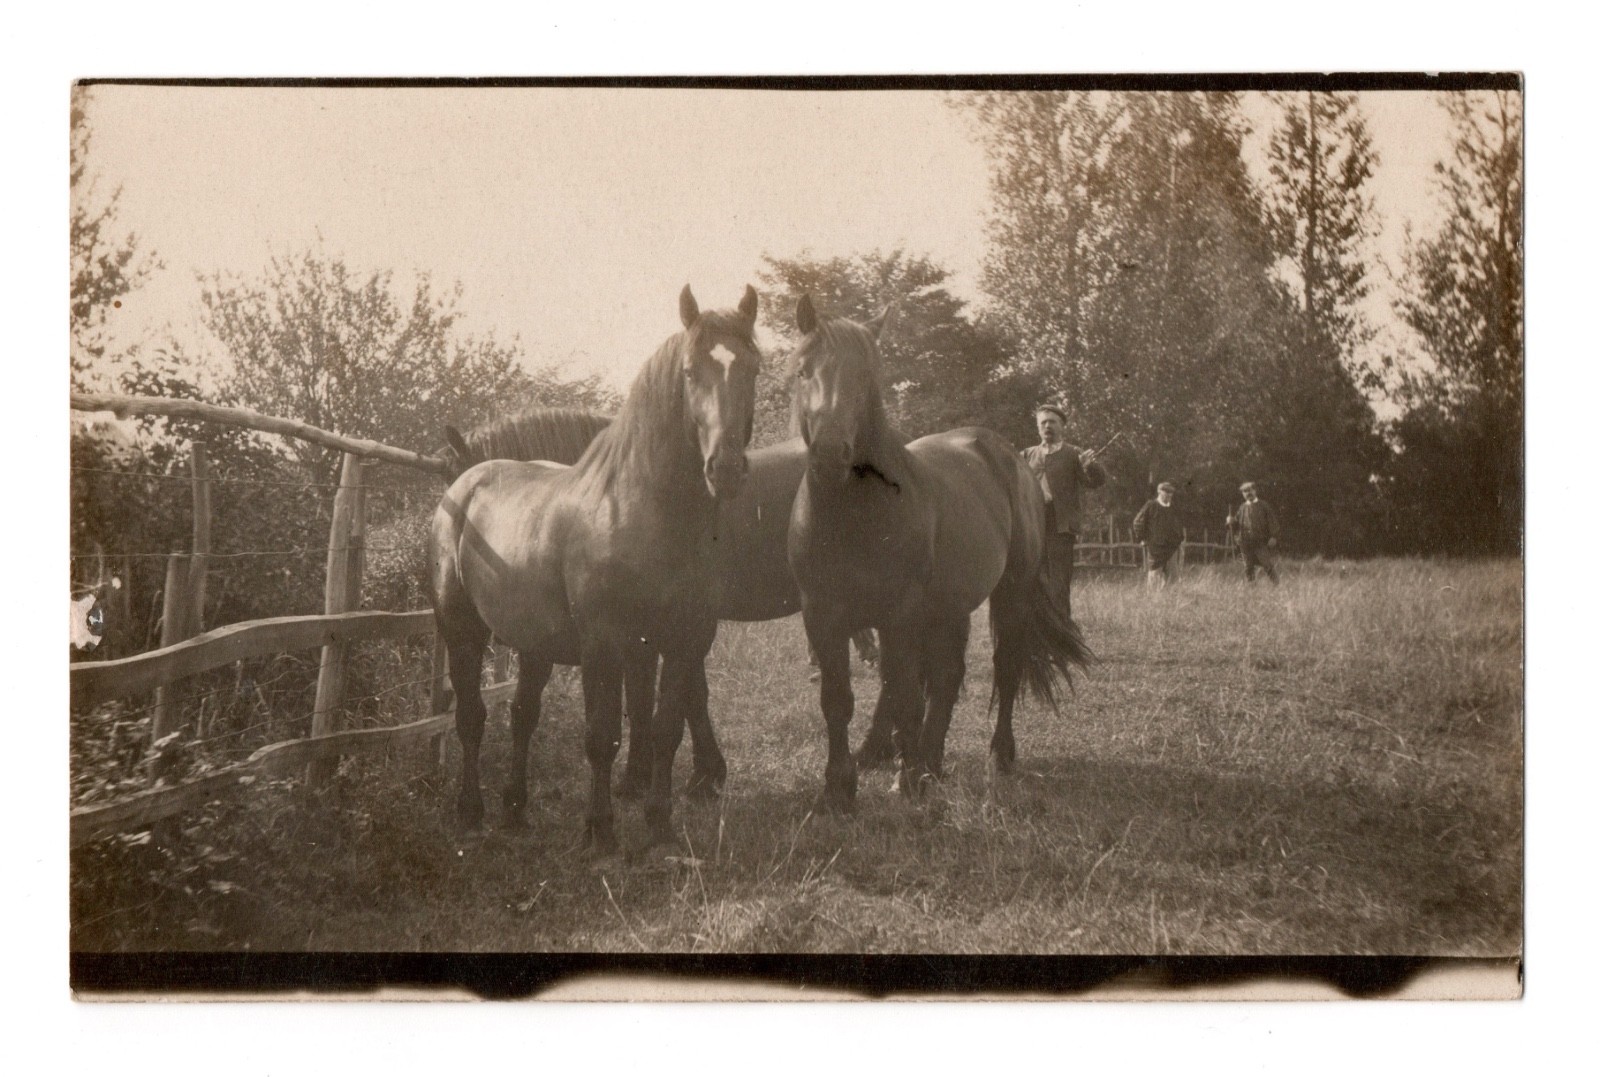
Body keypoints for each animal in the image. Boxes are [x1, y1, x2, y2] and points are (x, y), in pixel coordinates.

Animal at [430, 285, 761, 855]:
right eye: (690, 370)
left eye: (754, 367)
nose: (725, 469)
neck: (638, 512)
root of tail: (462, 490)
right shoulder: (606, 645)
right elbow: (603, 735)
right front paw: (599, 830)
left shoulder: (684, 641)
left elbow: (665, 729)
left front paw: (660, 826)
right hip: (462, 630)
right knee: (472, 717)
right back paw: (471, 812)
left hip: (533, 643)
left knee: (522, 716)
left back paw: (514, 809)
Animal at [785, 295, 1093, 810]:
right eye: (803, 369)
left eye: (866, 376)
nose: (831, 453)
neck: (851, 513)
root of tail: (1011, 459)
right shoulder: (823, 615)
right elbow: (838, 700)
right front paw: (838, 789)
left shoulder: (899, 614)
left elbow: (904, 694)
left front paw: (905, 780)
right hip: (951, 607)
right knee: (947, 678)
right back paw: (930, 760)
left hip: (1010, 594)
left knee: (1004, 668)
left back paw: (994, 756)